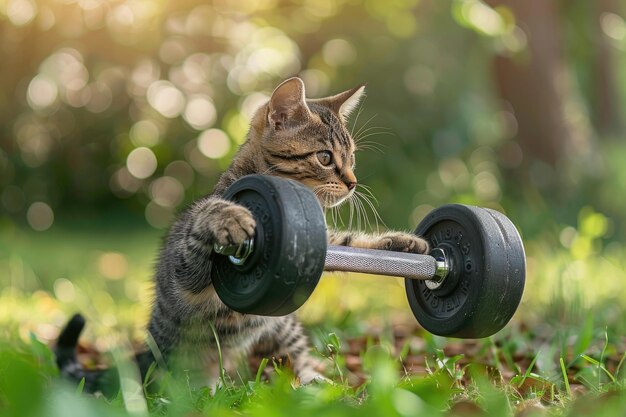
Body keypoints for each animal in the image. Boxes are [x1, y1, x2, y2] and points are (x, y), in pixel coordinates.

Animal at [56, 76, 428, 392]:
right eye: (325, 157)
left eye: (351, 158)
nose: (352, 182)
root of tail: (150, 348)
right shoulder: (184, 272)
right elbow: (205, 219)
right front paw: (230, 218)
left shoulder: (314, 245)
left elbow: (348, 242)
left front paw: (402, 244)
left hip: (282, 323)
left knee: (296, 356)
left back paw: (316, 383)